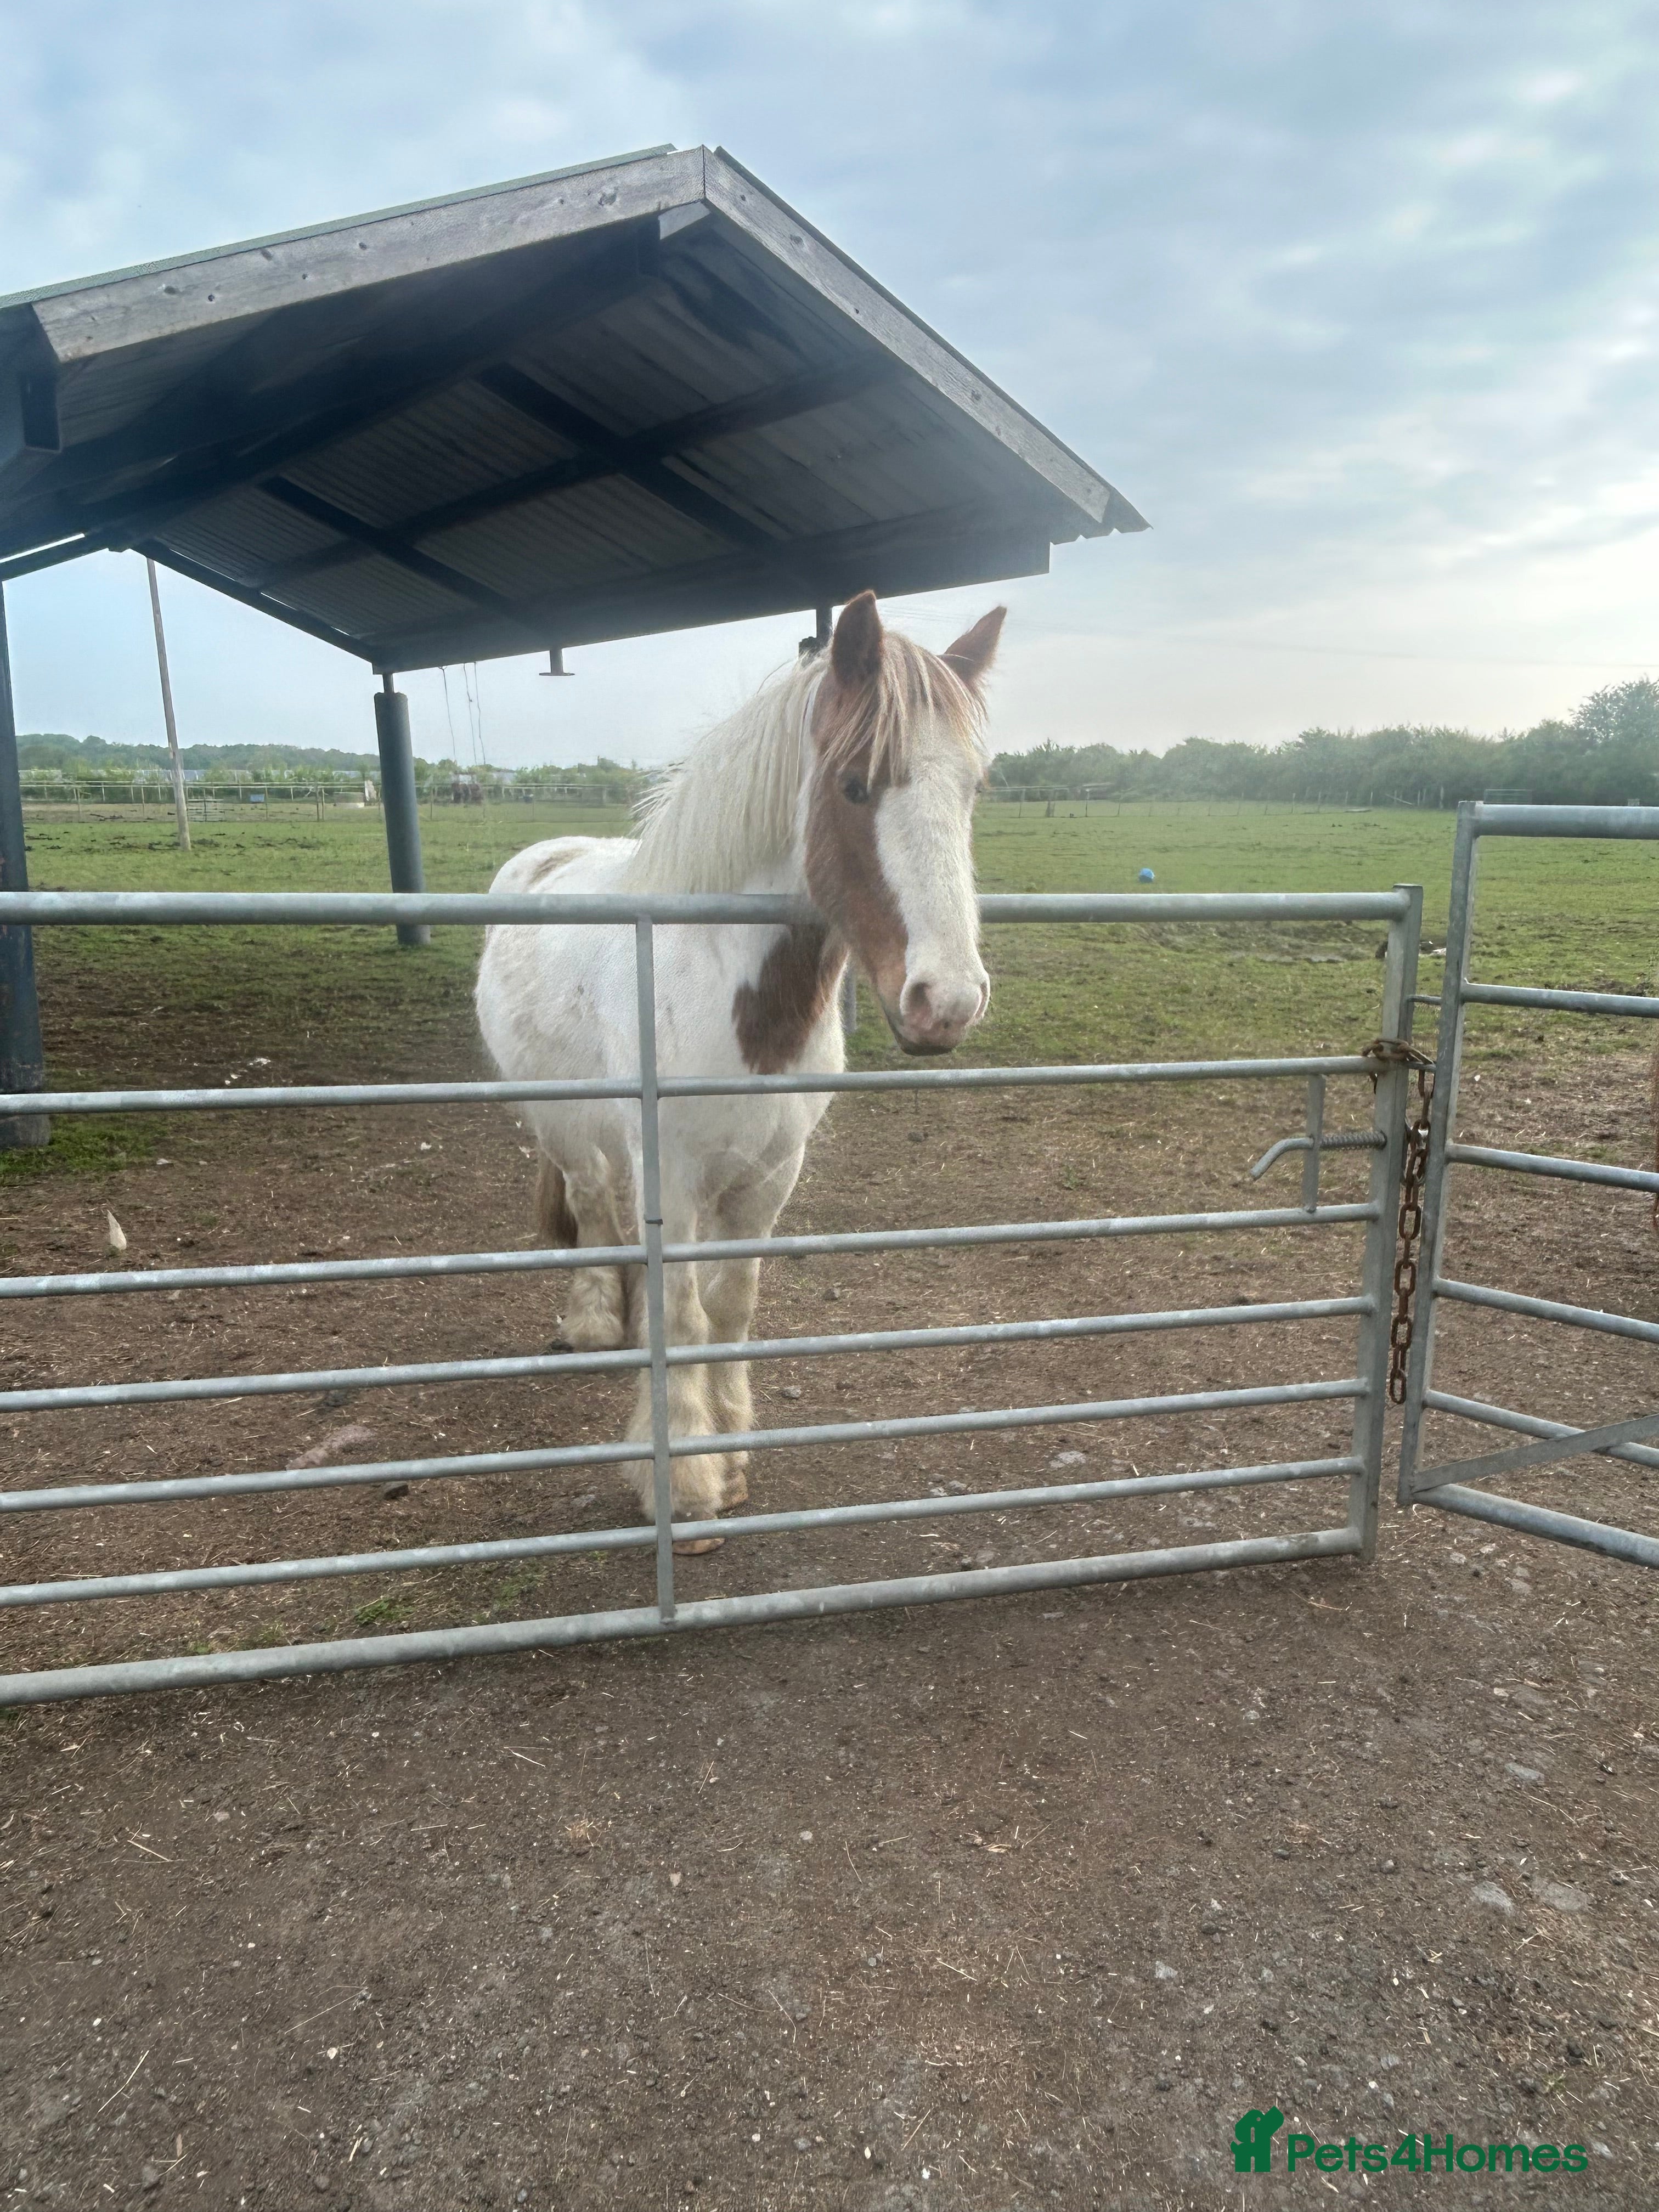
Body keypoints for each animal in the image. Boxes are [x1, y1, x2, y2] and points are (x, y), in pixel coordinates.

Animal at [475, 591, 1004, 1544]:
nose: (944, 1001)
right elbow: (684, 1313)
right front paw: (684, 1478)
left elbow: (731, 1304)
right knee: (588, 1201)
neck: (734, 998)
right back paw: (594, 1320)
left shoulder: (770, 1175)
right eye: (854, 784)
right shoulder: (675, 1174)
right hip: (562, 1118)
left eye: (971, 788)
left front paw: (734, 1449)